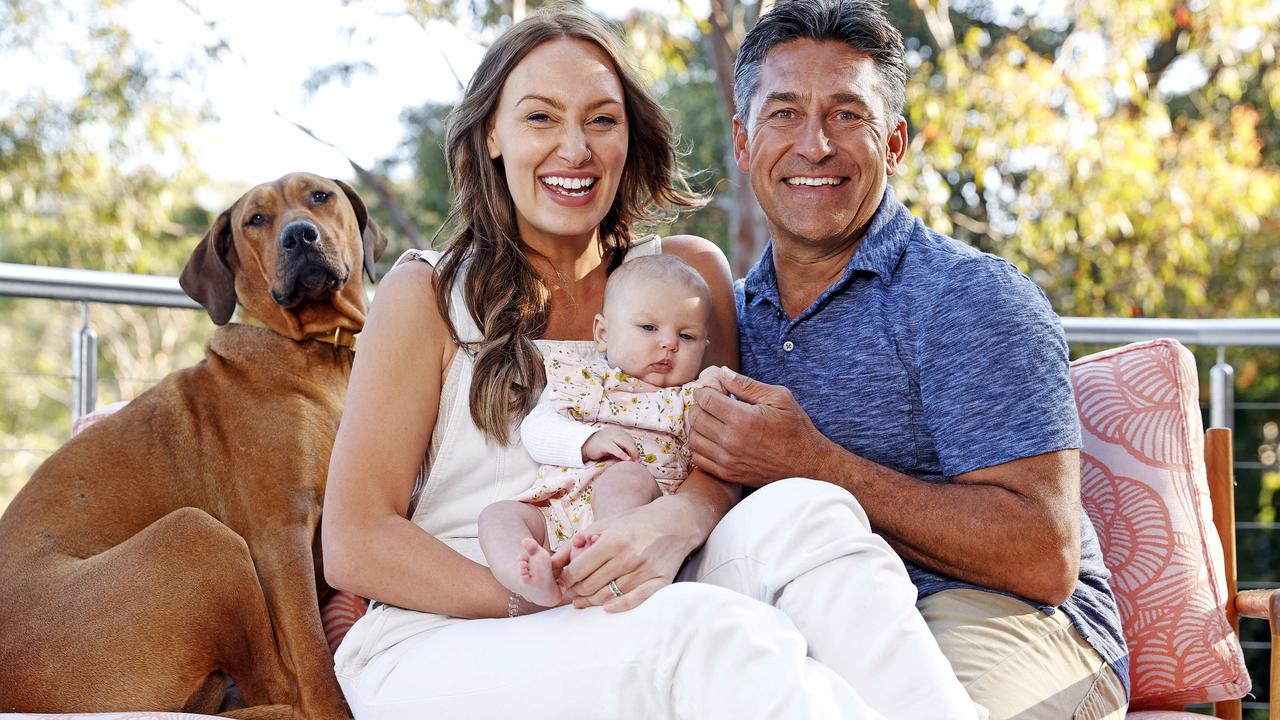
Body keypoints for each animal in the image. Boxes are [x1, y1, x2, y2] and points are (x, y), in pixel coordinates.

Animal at [0, 170, 384, 712]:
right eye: (256, 219)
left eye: (320, 196)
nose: (299, 236)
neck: (315, 354)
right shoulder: (280, 534)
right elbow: (313, 659)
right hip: (197, 534)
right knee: (279, 686)